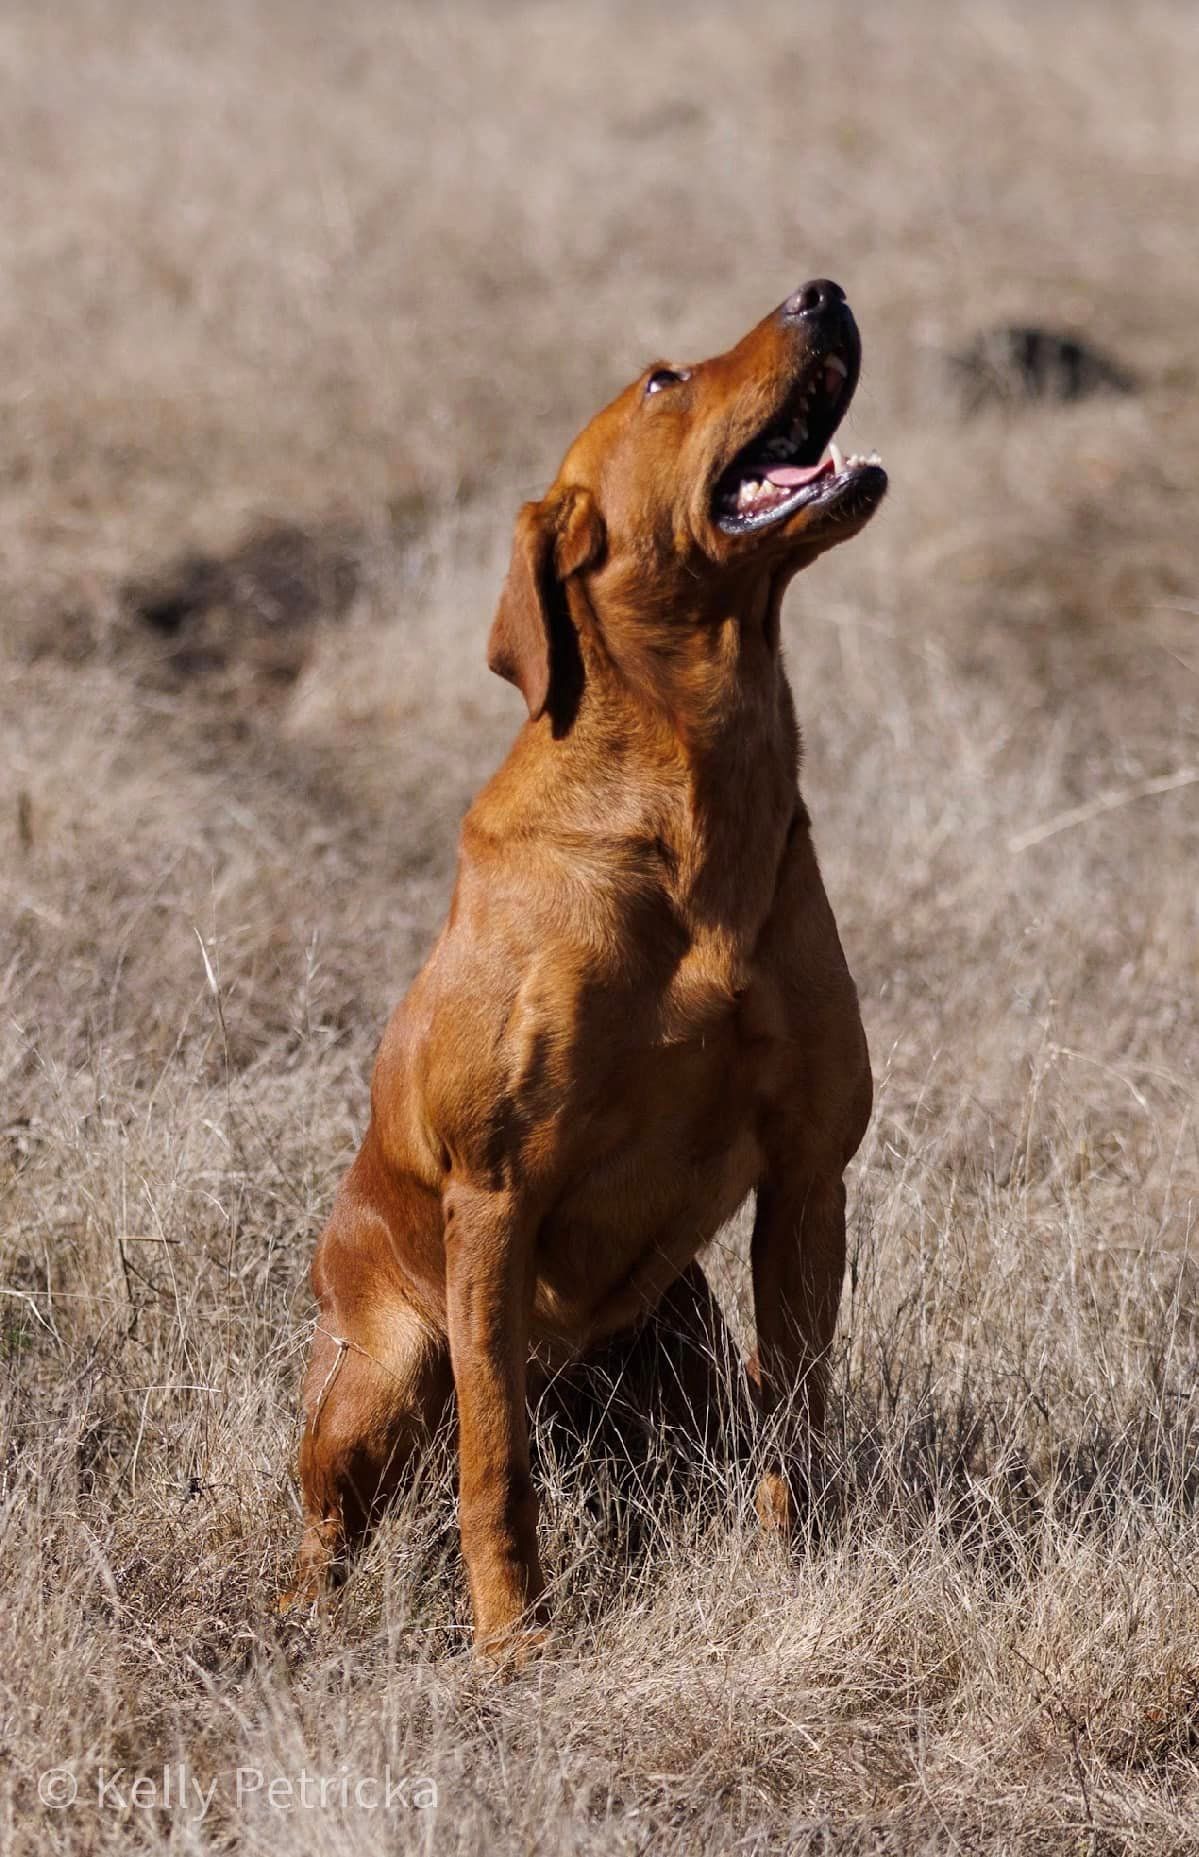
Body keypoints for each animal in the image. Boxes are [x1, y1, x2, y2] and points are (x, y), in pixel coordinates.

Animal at [287, 279, 886, 1659]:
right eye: (663, 380)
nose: (821, 290)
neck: (695, 796)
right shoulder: (493, 1196)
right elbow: (494, 1466)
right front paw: (514, 1644)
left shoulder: (807, 1173)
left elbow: (798, 1427)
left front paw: (800, 1581)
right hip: (387, 1366)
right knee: (331, 1526)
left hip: (682, 1346)